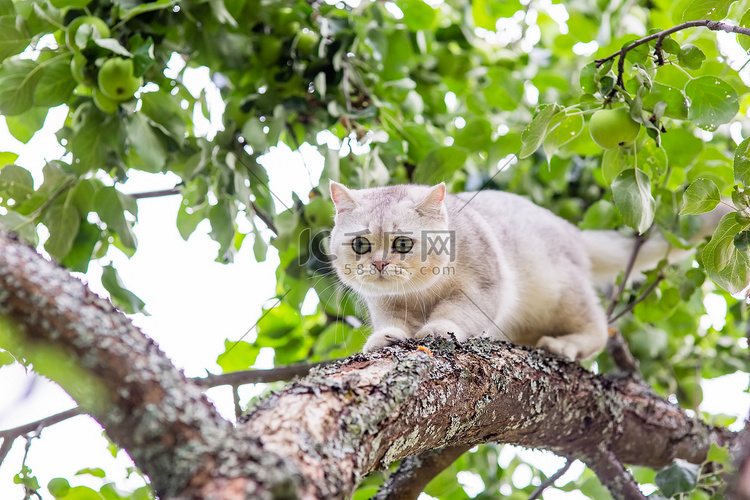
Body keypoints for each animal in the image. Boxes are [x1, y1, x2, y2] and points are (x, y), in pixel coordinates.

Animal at [330, 182, 728, 362]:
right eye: (361, 245)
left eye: (402, 244)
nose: (379, 264)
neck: (421, 291)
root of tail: (572, 231)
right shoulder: (385, 304)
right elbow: (392, 323)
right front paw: (385, 339)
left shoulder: (484, 287)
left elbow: (455, 314)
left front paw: (438, 329)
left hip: (565, 296)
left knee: (598, 330)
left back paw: (565, 344)